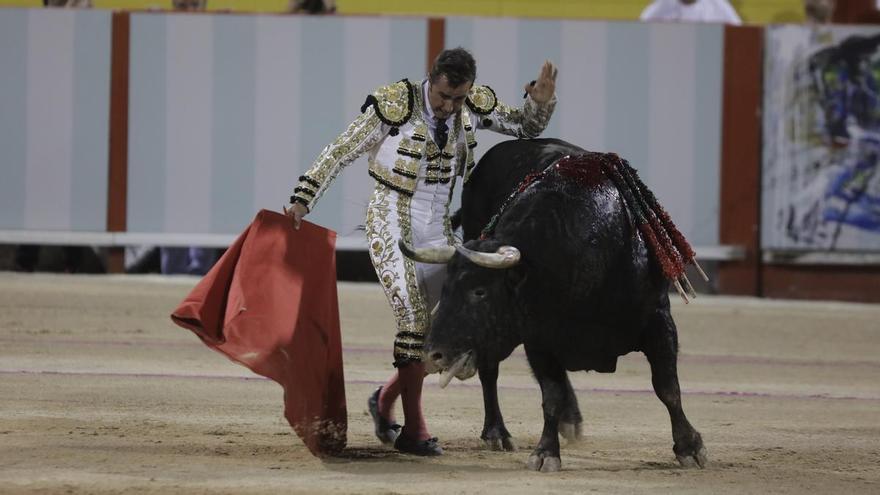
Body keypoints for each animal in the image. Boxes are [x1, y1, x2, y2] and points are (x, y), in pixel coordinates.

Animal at [402, 139, 704, 472]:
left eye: (479, 291)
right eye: (445, 288)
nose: (433, 354)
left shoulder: (659, 320)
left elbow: (667, 387)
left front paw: (690, 448)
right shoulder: (538, 336)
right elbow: (551, 395)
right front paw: (546, 453)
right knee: (490, 372)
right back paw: (497, 432)